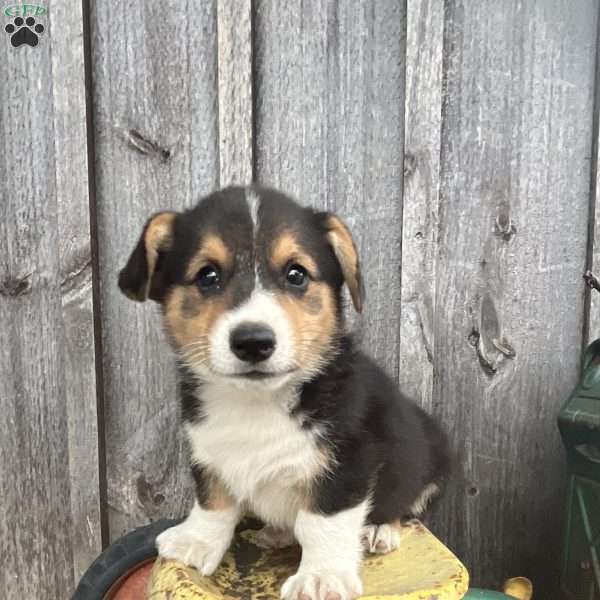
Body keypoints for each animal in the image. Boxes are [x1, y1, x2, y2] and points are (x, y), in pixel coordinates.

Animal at [118, 185, 450, 600]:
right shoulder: (208, 451)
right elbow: (213, 499)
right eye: (207, 275)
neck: (255, 402)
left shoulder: (349, 462)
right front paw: (197, 541)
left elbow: (323, 520)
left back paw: (379, 530)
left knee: (402, 504)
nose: (253, 342)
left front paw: (321, 577)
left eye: (296, 274)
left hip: (424, 461)